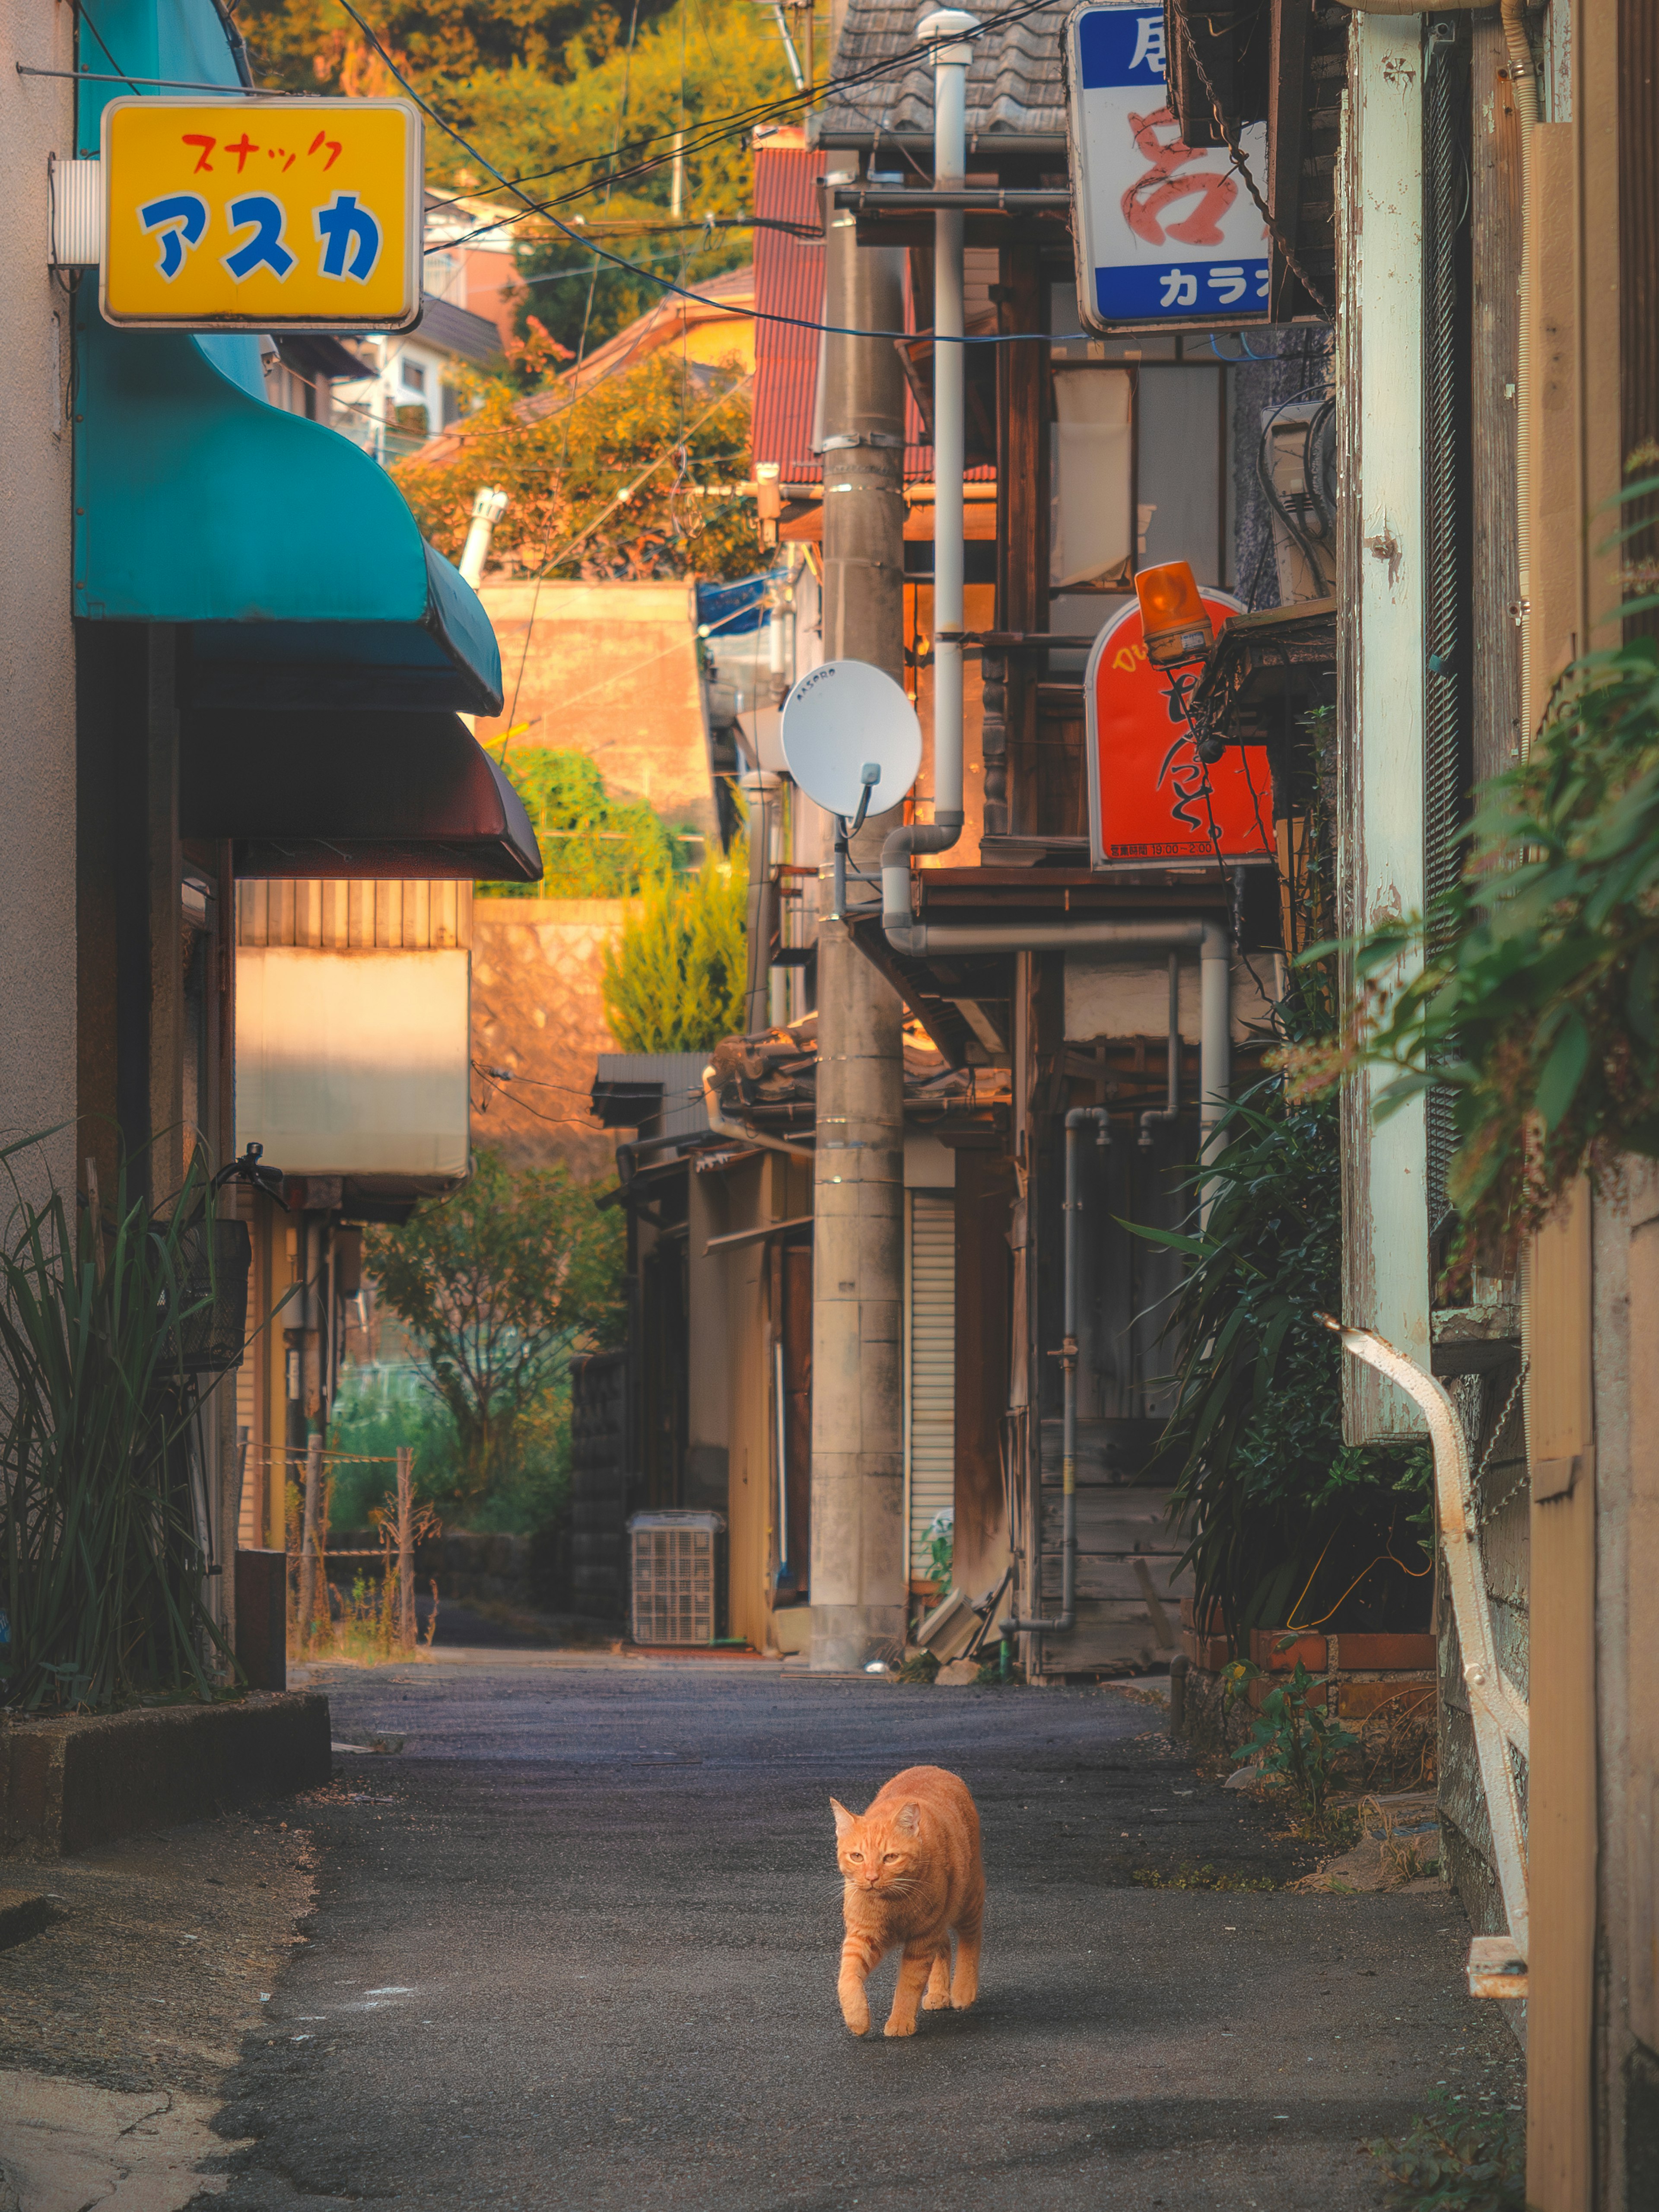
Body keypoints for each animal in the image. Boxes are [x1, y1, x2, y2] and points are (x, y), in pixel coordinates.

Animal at [832, 1760, 986, 2035]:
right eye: (857, 1857)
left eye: (891, 1858)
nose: (871, 1878)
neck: (892, 1903)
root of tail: (932, 1767)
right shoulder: (863, 1936)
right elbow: (847, 1977)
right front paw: (857, 2018)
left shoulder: (922, 1941)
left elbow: (908, 1984)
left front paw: (900, 2022)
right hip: (941, 1918)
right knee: (945, 1943)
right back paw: (938, 1994)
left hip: (967, 1897)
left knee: (971, 1936)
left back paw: (963, 1990)